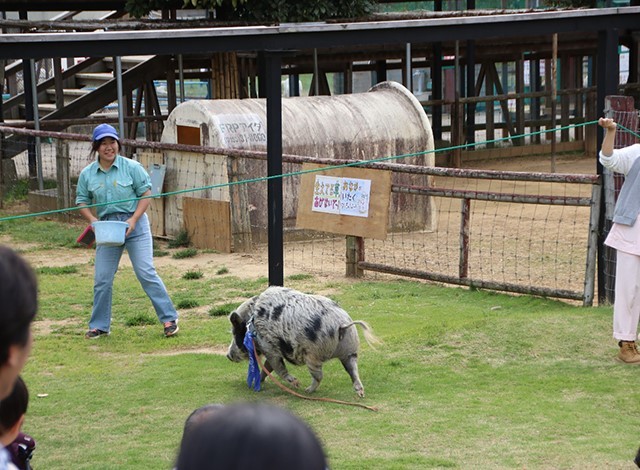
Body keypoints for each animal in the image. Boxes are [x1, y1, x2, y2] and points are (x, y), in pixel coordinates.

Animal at [226, 284, 380, 398]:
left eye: (235, 333)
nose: (228, 355)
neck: (252, 323)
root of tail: (342, 325)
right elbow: (267, 367)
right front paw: (261, 381)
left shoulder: (269, 347)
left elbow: (277, 367)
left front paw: (296, 383)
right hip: (350, 349)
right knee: (353, 369)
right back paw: (361, 393)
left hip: (313, 355)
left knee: (319, 376)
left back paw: (306, 390)